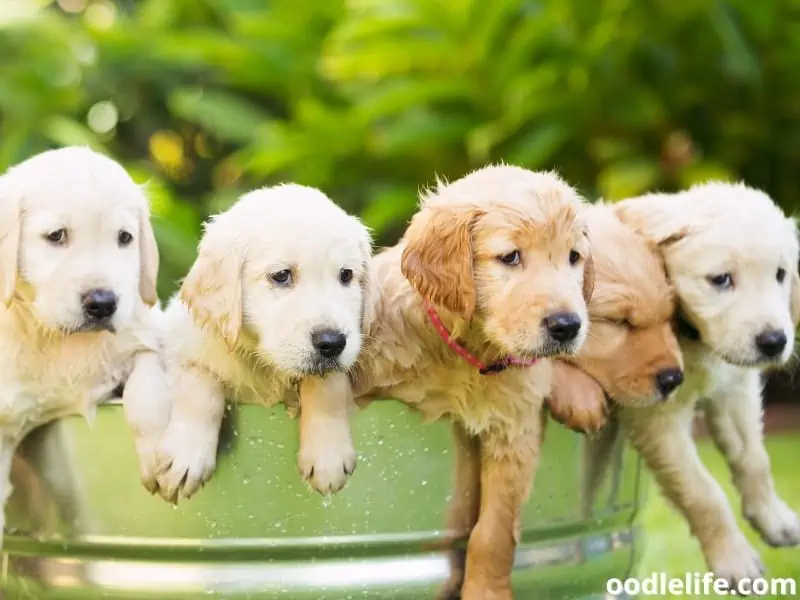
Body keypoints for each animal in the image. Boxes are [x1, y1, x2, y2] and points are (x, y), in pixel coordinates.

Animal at [0, 146, 166, 544]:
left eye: (124, 238)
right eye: (56, 236)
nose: (103, 303)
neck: (55, 336)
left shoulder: (145, 330)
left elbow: (148, 374)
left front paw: (157, 450)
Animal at [152, 184, 374, 502]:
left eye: (346, 275)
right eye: (281, 276)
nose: (332, 343)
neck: (265, 362)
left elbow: (328, 384)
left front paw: (327, 456)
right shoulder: (180, 346)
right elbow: (200, 385)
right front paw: (186, 457)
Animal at [352, 165, 592, 600]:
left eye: (574, 257)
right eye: (510, 257)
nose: (568, 326)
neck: (469, 350)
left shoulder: (514, 432)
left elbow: (493, 531)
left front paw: (487, 591)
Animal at [612, 180, 800, 584]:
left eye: (780, 274)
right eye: (721, 280)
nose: (775, 341)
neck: (691, 337)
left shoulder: (733, 389)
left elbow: (753, 457)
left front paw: (773, 519)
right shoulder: (656, 419)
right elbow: (702, 491)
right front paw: (734, 560)